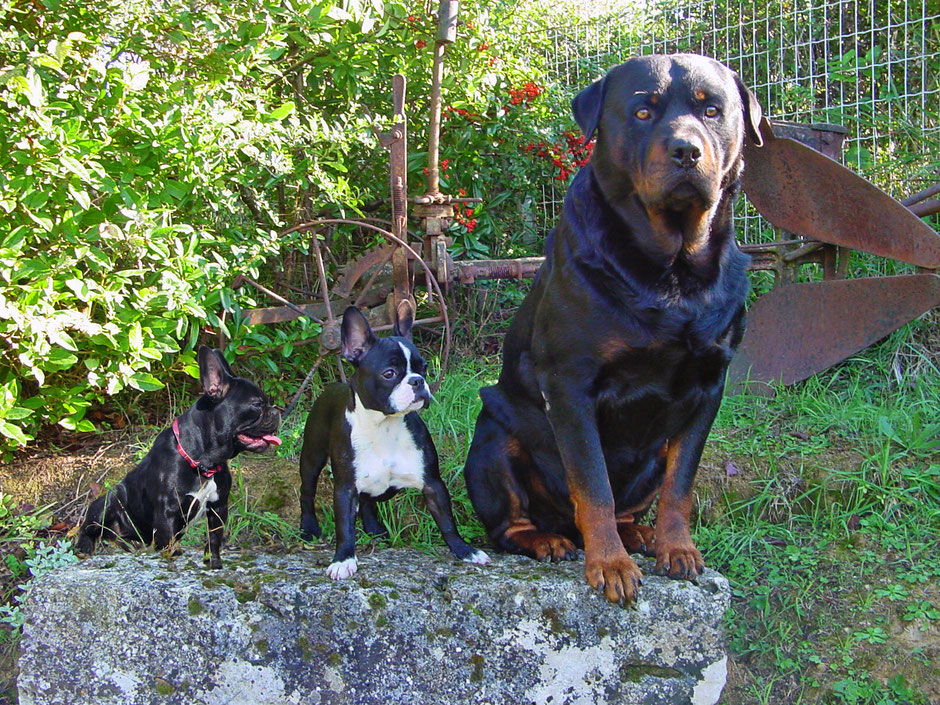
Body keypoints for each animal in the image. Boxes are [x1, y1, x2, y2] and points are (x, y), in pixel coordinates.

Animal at [76, 346, 282, 568]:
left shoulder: (218, 508)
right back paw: (85, 546)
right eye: (257, 404)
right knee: (89, 526)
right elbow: (168, 544)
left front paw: (214, 564)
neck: (202, 461)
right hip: (107, 501)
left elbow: (214, 540)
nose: (276, 411)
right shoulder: (168, 511)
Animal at [300, 302, 492, 576]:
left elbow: (446, 521)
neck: (385, 426)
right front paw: (343, 559)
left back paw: (374, 529)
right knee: (307, 492)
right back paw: (308, 528)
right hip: (312, 457)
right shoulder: (345, 489)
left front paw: (465, 550)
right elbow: (344, 526)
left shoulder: (432, 483)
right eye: (389, 373)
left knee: (367, 501)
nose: (418, 381)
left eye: (424, 368)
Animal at [462, 55, 764, 604]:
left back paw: (640, 534)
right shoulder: (569, 385)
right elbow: (592, 483)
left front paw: (677, 548)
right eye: (643, 112)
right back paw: (549, 541)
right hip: (494, 432)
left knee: (637, 498)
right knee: (510, 524)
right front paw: (610, 564)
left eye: (712, 109)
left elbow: (681, 486)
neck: (673, 271)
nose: (686, 150)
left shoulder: (709, 386)